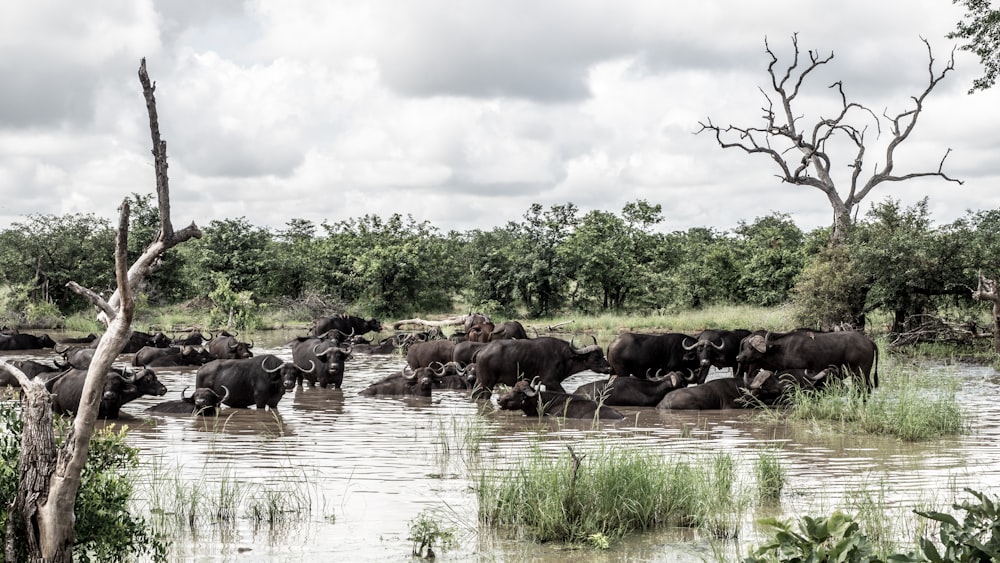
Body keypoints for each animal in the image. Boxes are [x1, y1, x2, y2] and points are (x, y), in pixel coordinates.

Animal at [474, 338, 608, 398]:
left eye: (602, 355)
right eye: (596, 357)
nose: (609, 368)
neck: (564, 356)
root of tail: (482, 350)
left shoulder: (550, 384)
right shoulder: (551, 381)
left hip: (480, 382)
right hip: (487, 383)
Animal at [732, 330, 880, 392]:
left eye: (752, 348)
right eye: (746, 346)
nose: (738, 357)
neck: (784, 349)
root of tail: (868, 341)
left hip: (860, 373)